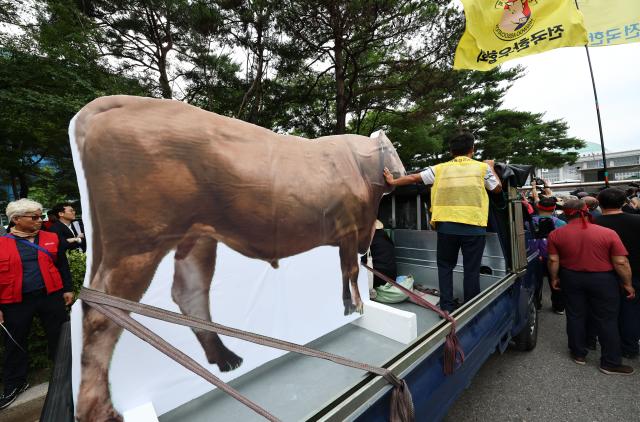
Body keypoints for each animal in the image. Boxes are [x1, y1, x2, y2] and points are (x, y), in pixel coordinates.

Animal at [72, 96, 404, 422]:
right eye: (391, 150)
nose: (400, 174)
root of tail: (124, 102)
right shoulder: (349, 229)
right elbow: (350, 270)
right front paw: (357, 306)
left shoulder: (346, 236)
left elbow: (344, 272)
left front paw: (348, 306)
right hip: (137, 244)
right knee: (101, 312)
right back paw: (99, 410)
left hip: (195, 237)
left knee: (188, 292)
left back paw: (224, 358)